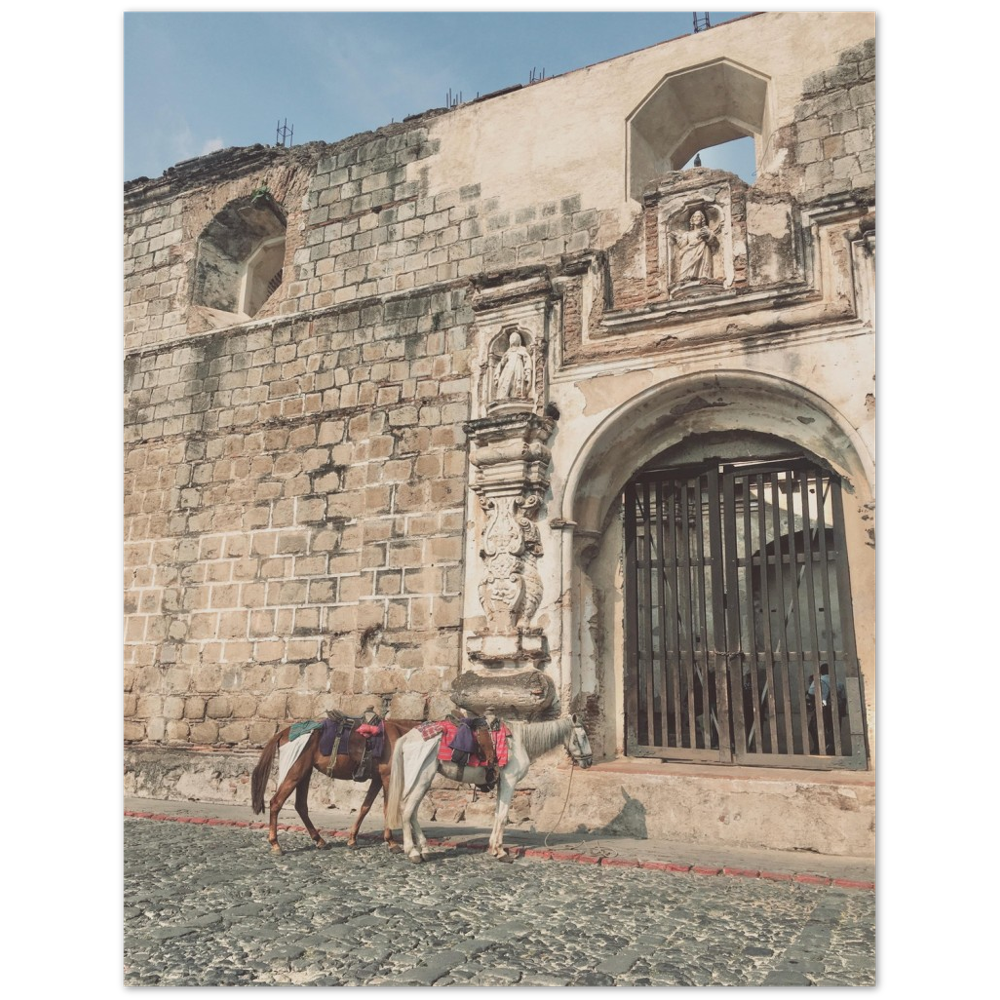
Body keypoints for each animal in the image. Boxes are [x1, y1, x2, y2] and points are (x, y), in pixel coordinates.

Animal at [254, 716, 422, 856]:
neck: (400, 735)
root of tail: (283, 733)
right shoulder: (387, 778)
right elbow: (387, 808)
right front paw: (392, 842)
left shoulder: (377, 780)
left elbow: (365, 807)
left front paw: (352, 839)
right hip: (295, 773)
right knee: (276, 803)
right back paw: (275, 844)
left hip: (305, 772)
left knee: (301, 806)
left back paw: (320, 840)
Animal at [382, 716, 588, 864]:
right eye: (584, 736)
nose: (589, 761)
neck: (520, 741)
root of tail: (407, 737)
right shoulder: (509, 782)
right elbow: (503, 817)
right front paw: (502, 852)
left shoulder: (501, 784)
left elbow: (497, 815)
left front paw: (494, 848)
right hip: (420, 778)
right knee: (406, 810)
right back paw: (413, 852)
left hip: (423, 781)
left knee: (413, 812)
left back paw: (424, 849)